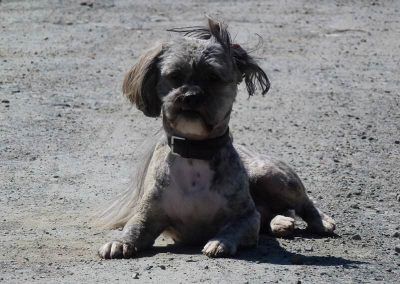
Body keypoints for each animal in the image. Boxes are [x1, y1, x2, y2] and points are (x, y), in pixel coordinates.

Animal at [97, 16, 334, 258]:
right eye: (174, 76)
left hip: (273, 177)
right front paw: (120, 242)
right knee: (277, 214)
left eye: (213, 77)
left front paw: (220, 242)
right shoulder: (148, 214)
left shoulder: (247, 218)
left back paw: (320, 221)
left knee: (305, 202)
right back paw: (281, 222)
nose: (190, 95)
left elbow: (236, 227)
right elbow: (134, 228)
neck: (194, 152)